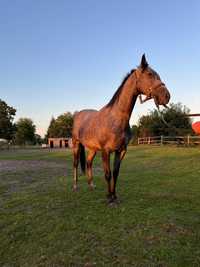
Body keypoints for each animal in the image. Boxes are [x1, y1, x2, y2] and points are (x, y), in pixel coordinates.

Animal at [72, 55, 170, 204]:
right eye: (149, 74)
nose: (166, 96)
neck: (117, 118)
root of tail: (78, 114)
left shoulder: (121, 150)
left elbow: (116, 173)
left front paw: (114, 196)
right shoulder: (106, 151)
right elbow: (107, 174)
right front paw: (109, 198)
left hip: (93, 149)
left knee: (88, 163)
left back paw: (91, 185)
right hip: (76, 144)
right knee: (76, 164)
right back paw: (75, 186)